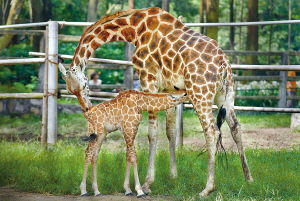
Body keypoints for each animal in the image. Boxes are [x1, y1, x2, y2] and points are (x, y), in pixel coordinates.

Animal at [58, 62, 189, 198]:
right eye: (185, 93)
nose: (191, 97)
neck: (140, 103)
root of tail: (87, 113)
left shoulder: (132, 128)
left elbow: (128, 156)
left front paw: (128, 190)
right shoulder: (128, 128)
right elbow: (133, 157)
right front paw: (139, 191)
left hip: (101, 134)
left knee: (94, 155)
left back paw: (97, 191)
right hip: (94, 132)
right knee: (88, 153)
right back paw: (83, 191)